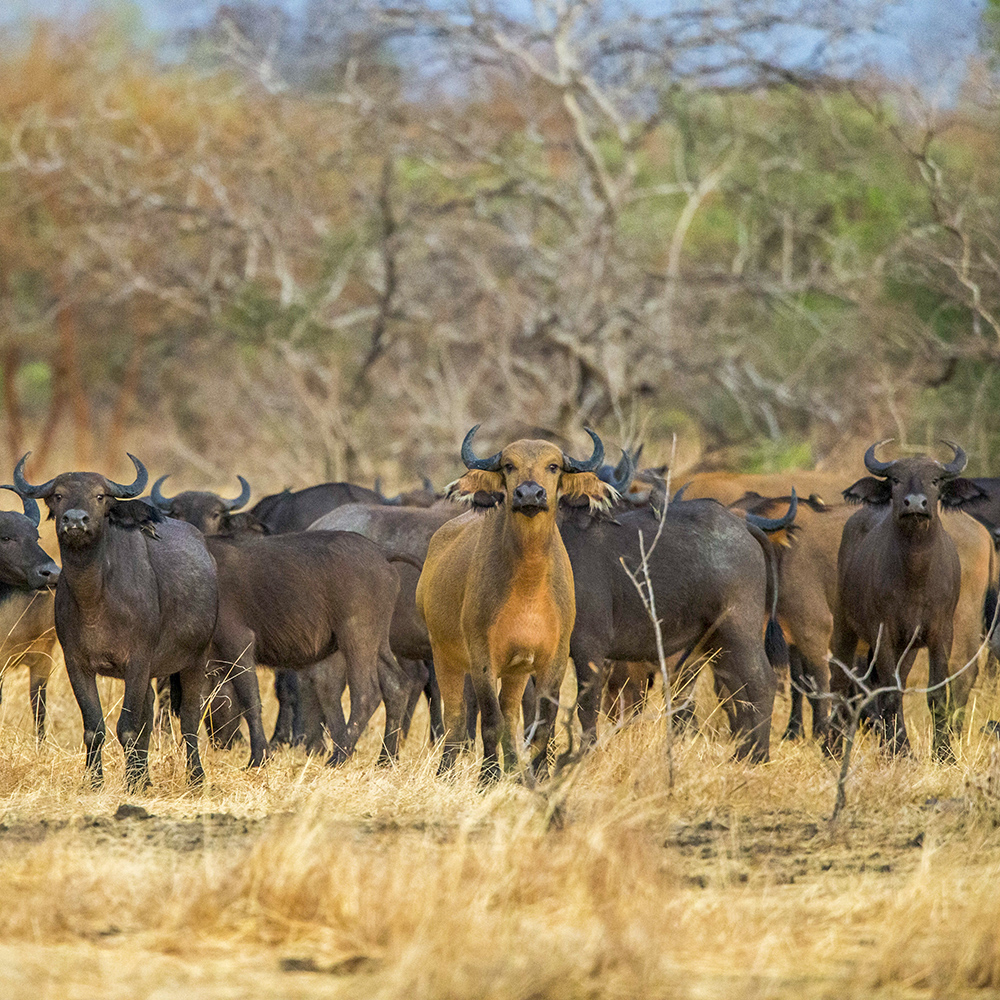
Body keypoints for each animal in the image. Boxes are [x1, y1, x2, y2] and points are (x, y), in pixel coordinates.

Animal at [15, 454, 220, 788]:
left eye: (100, 496)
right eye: (58, 495)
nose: (75, 520)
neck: (94, 600)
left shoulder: (137, 662)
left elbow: (128, 727)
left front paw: (132, 783)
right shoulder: (77, 664)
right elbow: (94, 727)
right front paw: (95, 782)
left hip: (195, 660)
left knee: (189, 719)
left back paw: (195, 778)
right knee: (148, 716)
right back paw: (146, 776)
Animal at [828, 442, 984, 760]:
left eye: (935, 481)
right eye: (896, 480)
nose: (915, 504)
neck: (915, 574)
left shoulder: (940, 633)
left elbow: (937, 694)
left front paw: (943, 754)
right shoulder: (883, 633)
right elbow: (890, 694)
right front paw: (898, 750)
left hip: (908, 648)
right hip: (844, 625)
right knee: (839, 681)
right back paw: (834, 748)